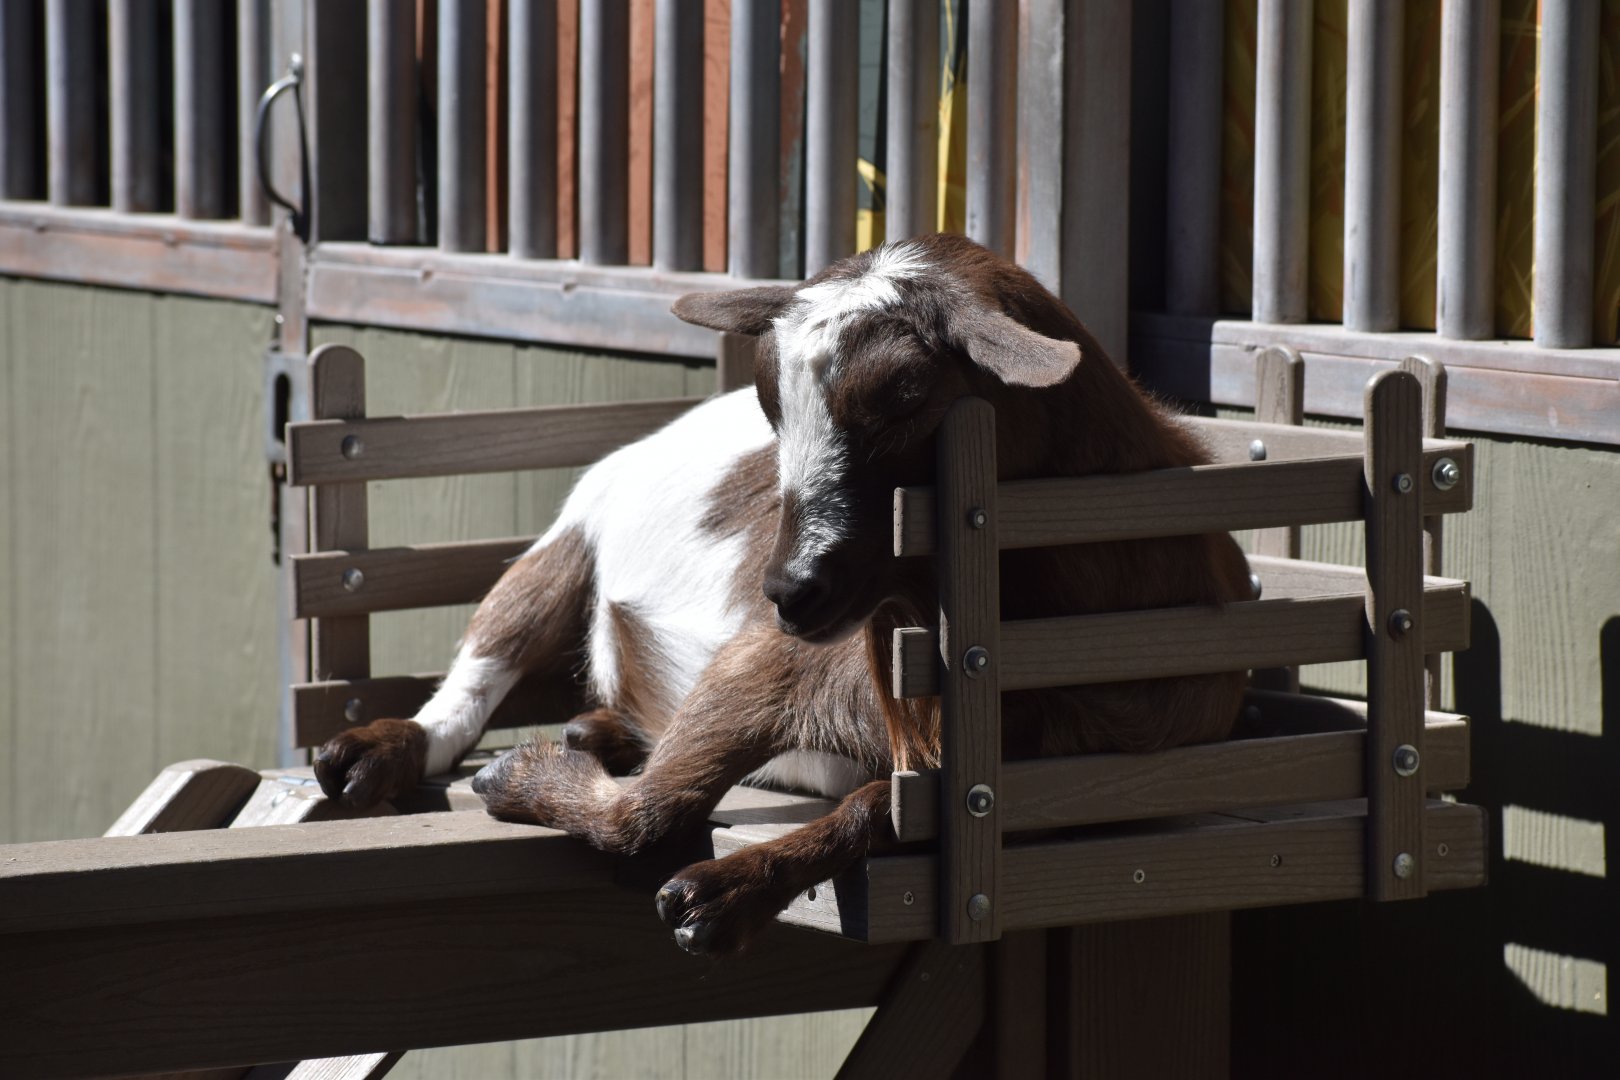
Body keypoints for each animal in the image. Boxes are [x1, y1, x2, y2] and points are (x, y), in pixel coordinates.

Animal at [314, 232, 1254, 954]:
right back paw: (374, 752)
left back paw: (593, 731)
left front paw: (725, 892)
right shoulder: (774, 660)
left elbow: (888, 806)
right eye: (772, 404)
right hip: (572, 532)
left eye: (906, 393)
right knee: (482, 666)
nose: (789, 589)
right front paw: (528, 780)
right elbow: (650, 811)